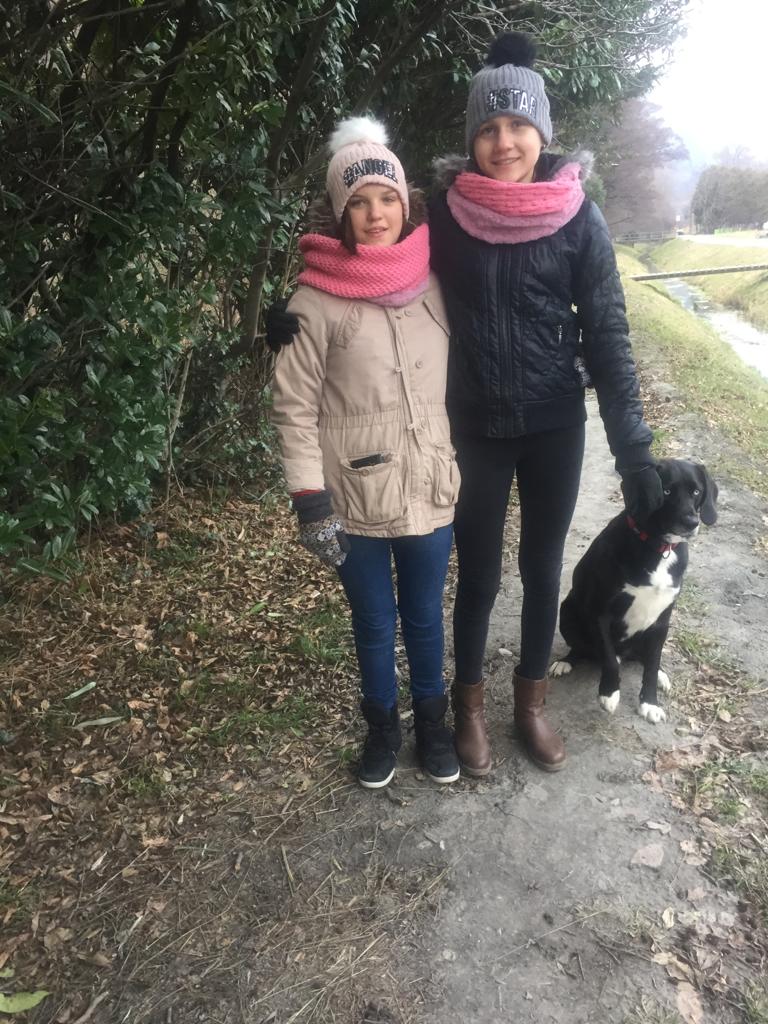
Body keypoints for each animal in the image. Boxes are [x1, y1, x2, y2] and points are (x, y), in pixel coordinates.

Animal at [551, 459, 718, 723]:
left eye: (696, 491)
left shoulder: (661, 622)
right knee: (583, 648)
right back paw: (566, 662)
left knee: (645, 658)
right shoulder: (600, 614)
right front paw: (609, 693)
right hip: (567, 611)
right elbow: (609, 659)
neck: (658, 547)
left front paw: (649, 703)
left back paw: (661, 675)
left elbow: (650, 666)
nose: (692, 523)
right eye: (666, 491)